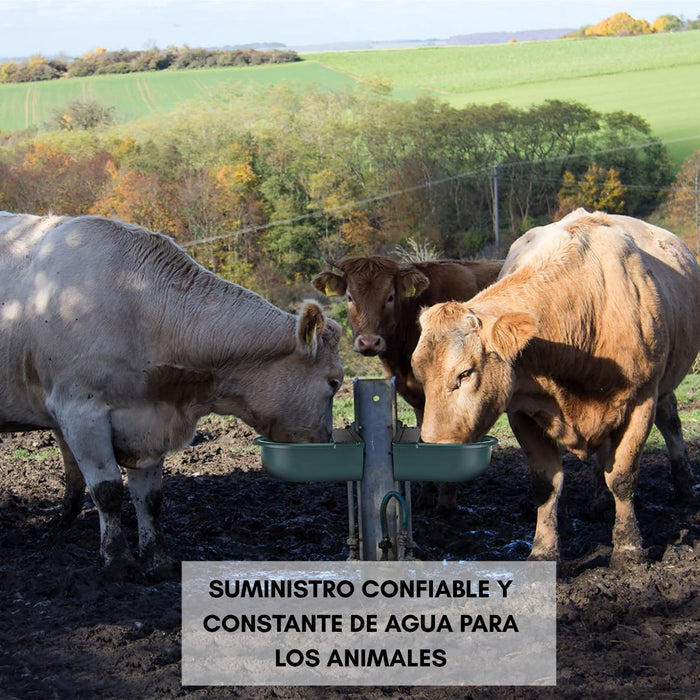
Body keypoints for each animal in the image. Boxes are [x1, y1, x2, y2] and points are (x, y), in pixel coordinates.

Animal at [0, 212, 343, 578]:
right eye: (334, 382)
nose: (324, 441)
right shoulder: (79, 410)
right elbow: (108, 490)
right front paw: (117, 561)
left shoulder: (149, 419)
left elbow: (150, 497)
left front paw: (157, 560)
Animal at [312, 255, 502, 509]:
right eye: (350, 297)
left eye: (390, 296)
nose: (369, 342)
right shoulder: (418, 398)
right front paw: (425, 495)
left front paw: (446, 502)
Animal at [412, 209, 700, 567]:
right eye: (418, 373)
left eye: (465, 373)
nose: (433, 450)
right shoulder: (521, 409)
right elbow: (546, 483)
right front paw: (543, 550)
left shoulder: (642, 398)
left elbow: (622, 475)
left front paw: (629, 549)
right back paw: (595, 502)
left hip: (664, 384)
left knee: (670, 424)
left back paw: (684, 486)